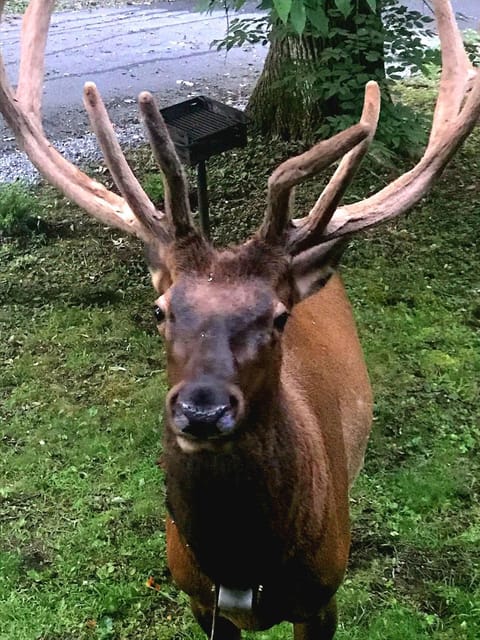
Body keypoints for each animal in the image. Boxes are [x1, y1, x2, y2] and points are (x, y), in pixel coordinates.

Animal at [1, 0, 478, 636]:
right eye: (161, 310)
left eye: (278, 318)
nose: (202, 410)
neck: (242, 568)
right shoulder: (197, 597)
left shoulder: (324, 595)